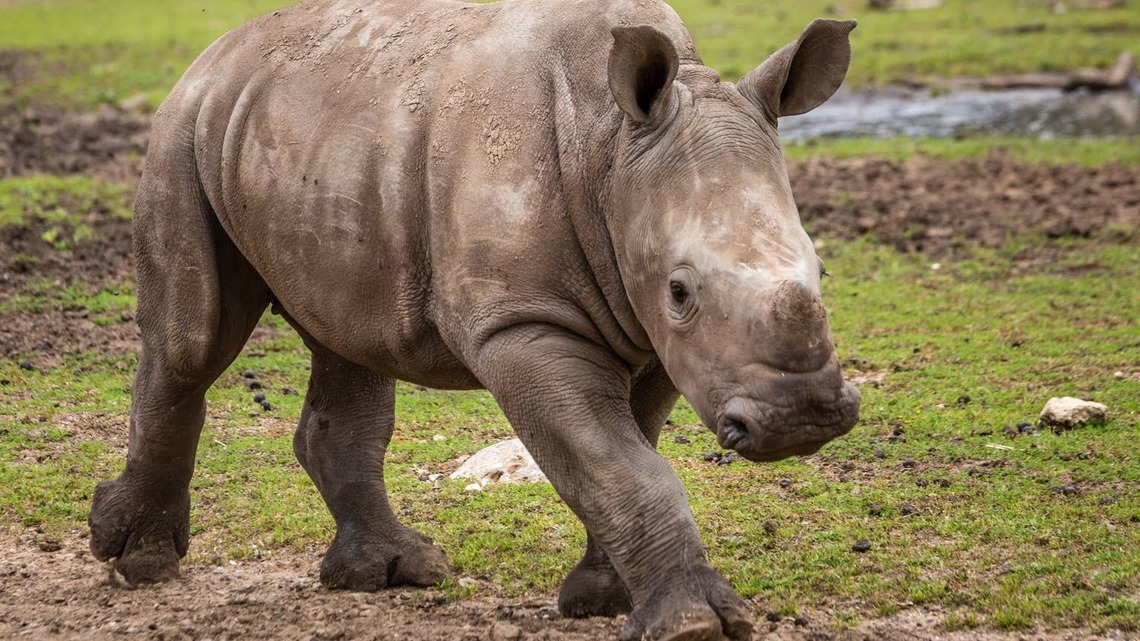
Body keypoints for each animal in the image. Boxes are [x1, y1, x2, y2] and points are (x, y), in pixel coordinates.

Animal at [89, 0, 860, 638]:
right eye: (680, 290)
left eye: (822, 269)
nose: (802, 419)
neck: (613, 145)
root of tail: (218, 52)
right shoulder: (522, 325)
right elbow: (620, 465)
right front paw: (694, 625)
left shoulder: (658, 340)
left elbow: (629, 452)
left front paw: (603, 600)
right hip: (186, 129)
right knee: (193, 342)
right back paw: (141, 563)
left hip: (318, 141)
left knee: (348, 339)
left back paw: (391, 575)